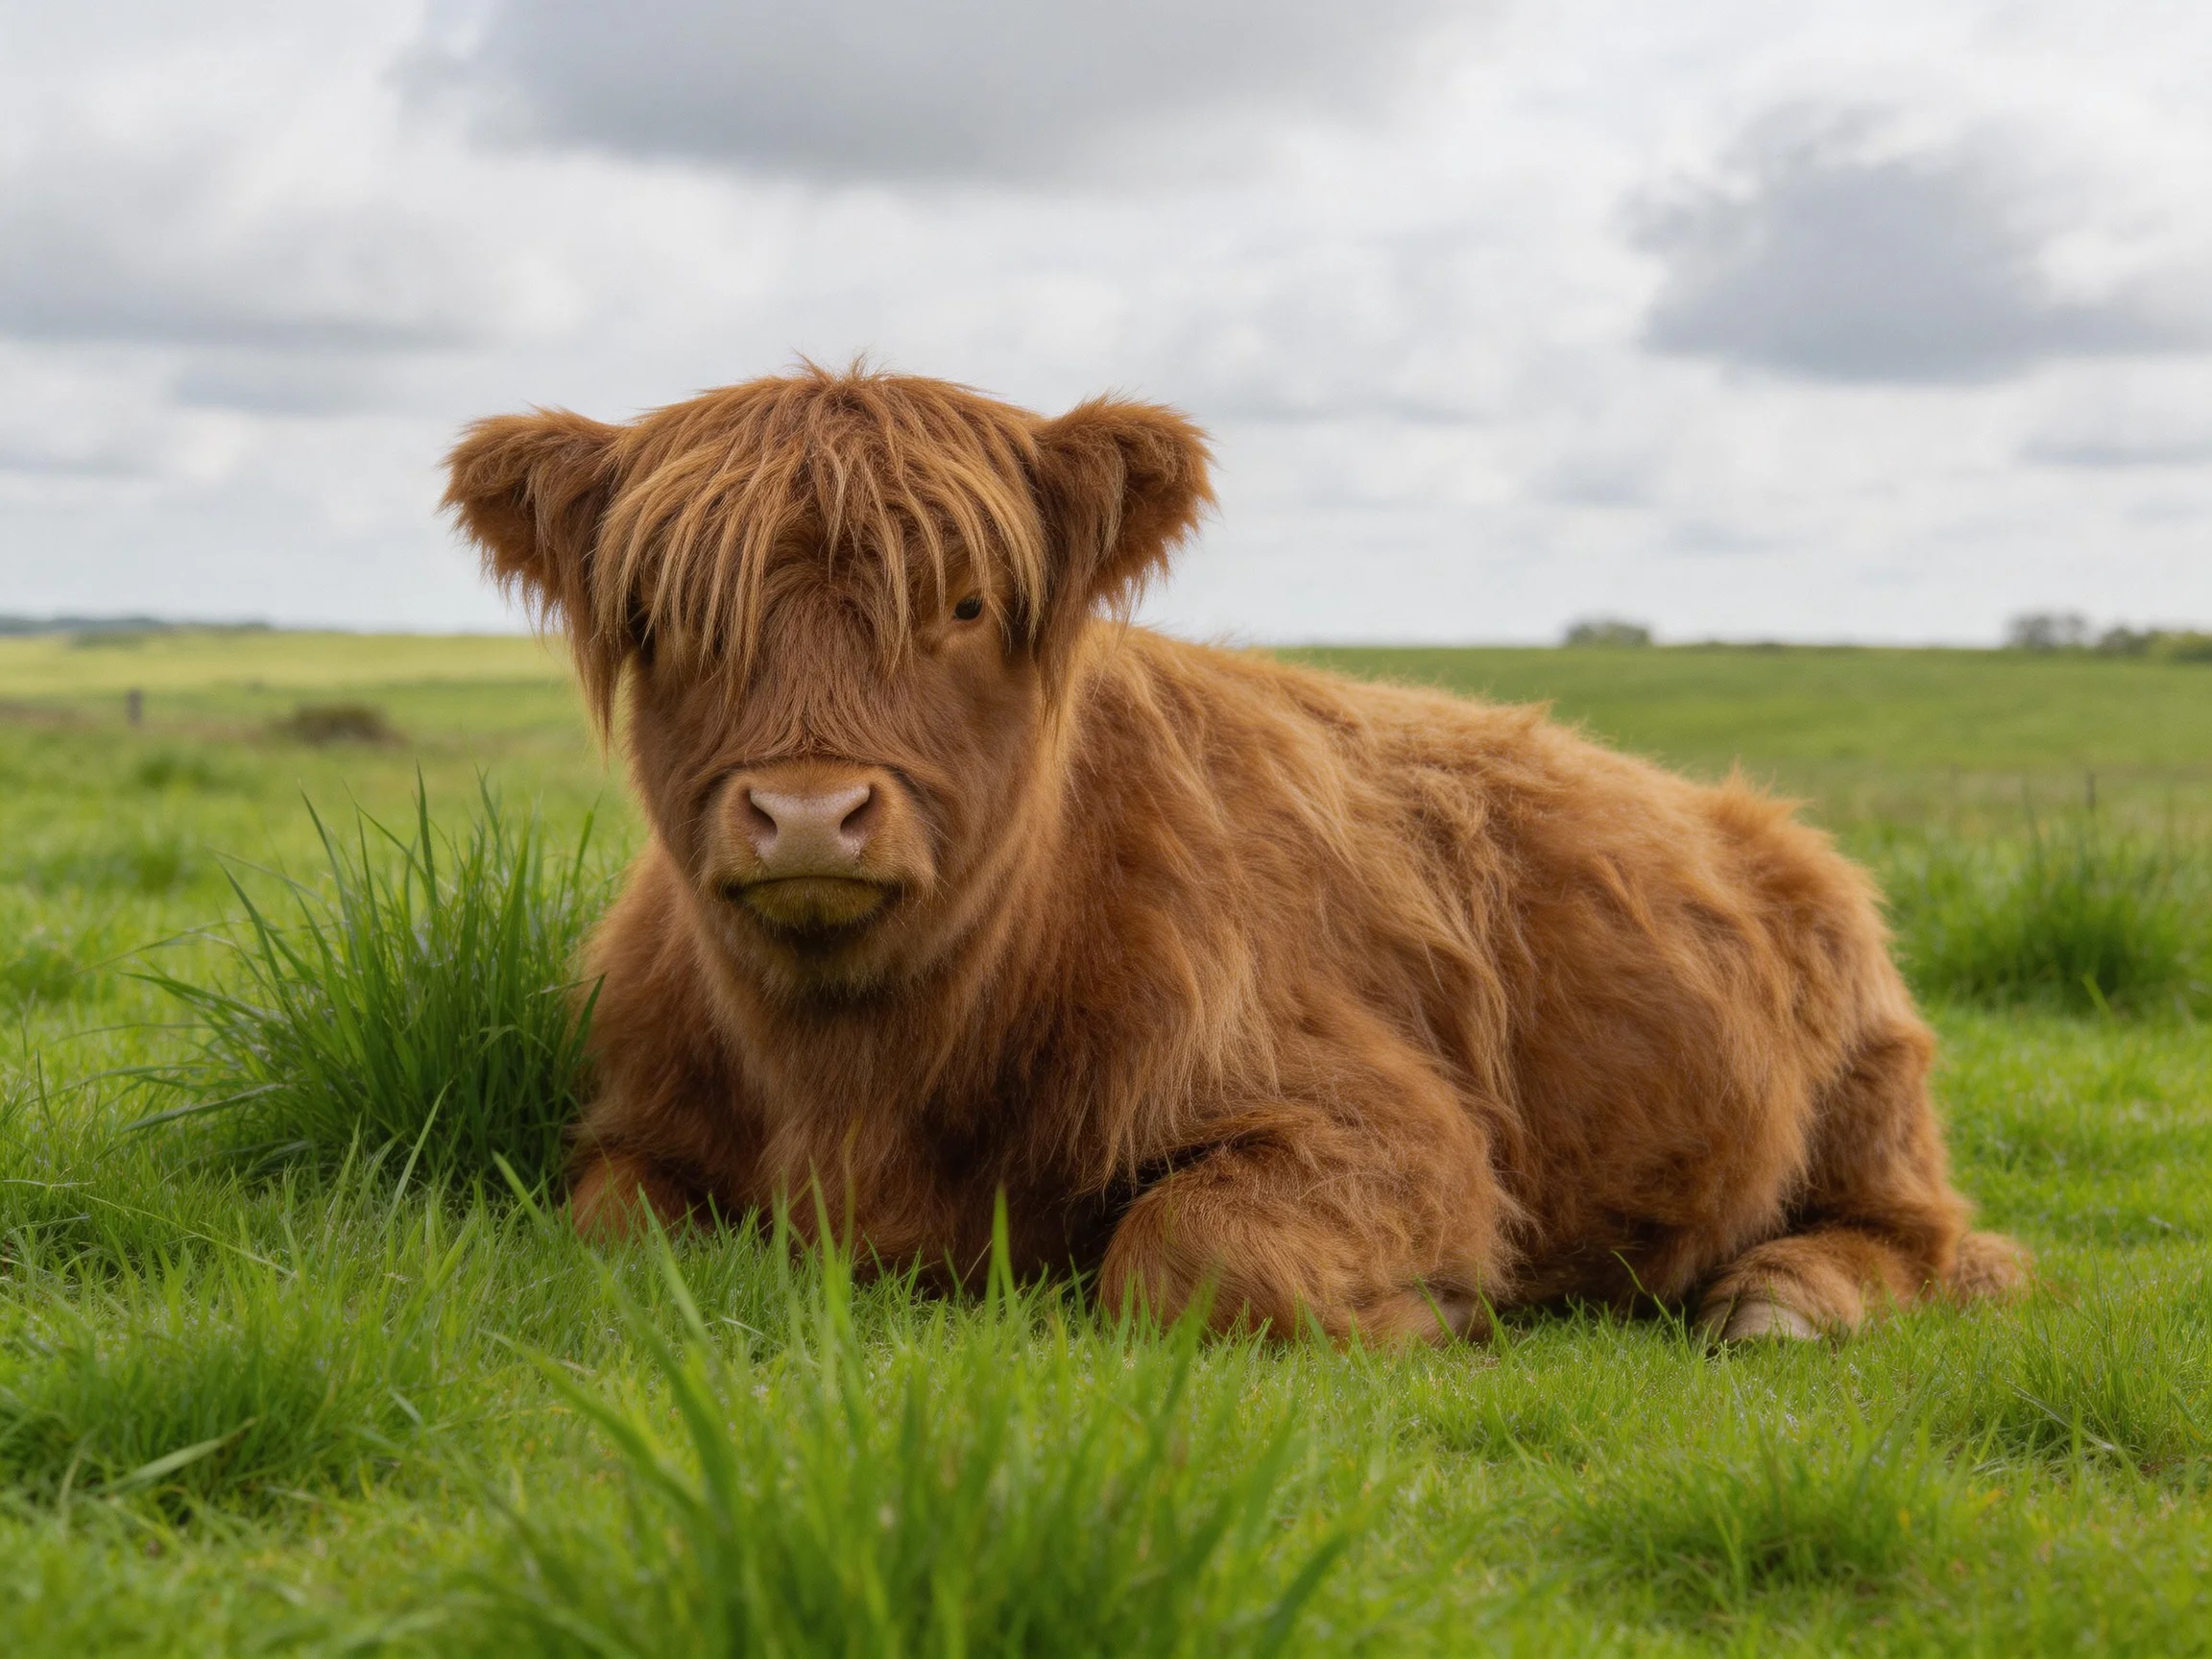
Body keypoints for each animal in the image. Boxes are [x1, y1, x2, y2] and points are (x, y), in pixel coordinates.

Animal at [444, 365, 2027, 1344]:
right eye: (669, 616)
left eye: (964, 603)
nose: (810, 812)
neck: (857, 1080)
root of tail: (1760, 825)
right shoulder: (640, 1128)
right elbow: (615, 1227)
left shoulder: (1396, 1130)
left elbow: (1183, 1254)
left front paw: (1434, 1312)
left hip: (1869, 1090)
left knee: (1929, 1239)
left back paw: (1781, 1303)